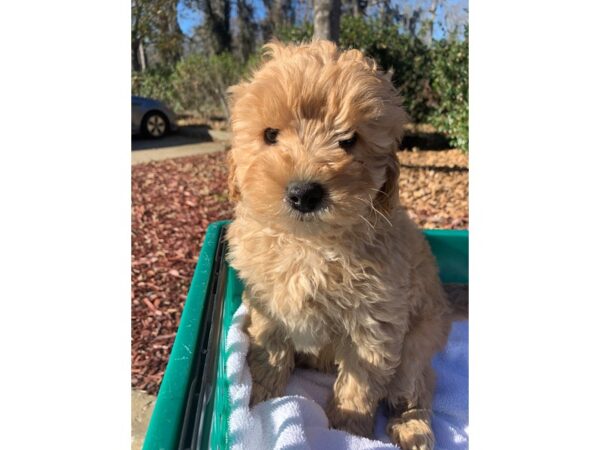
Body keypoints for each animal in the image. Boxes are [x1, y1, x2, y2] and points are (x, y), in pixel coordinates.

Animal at [227, 40, 452, 448]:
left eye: (348, 141)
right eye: (270, 135)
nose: (304, 194)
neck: (309, 244)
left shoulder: (374, 323)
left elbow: (358, 384)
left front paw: (348, 430)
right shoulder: (266, 300)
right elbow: (270, 347)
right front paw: (261, 397)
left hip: (419, 341)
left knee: (416, 384)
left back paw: (411, 427)